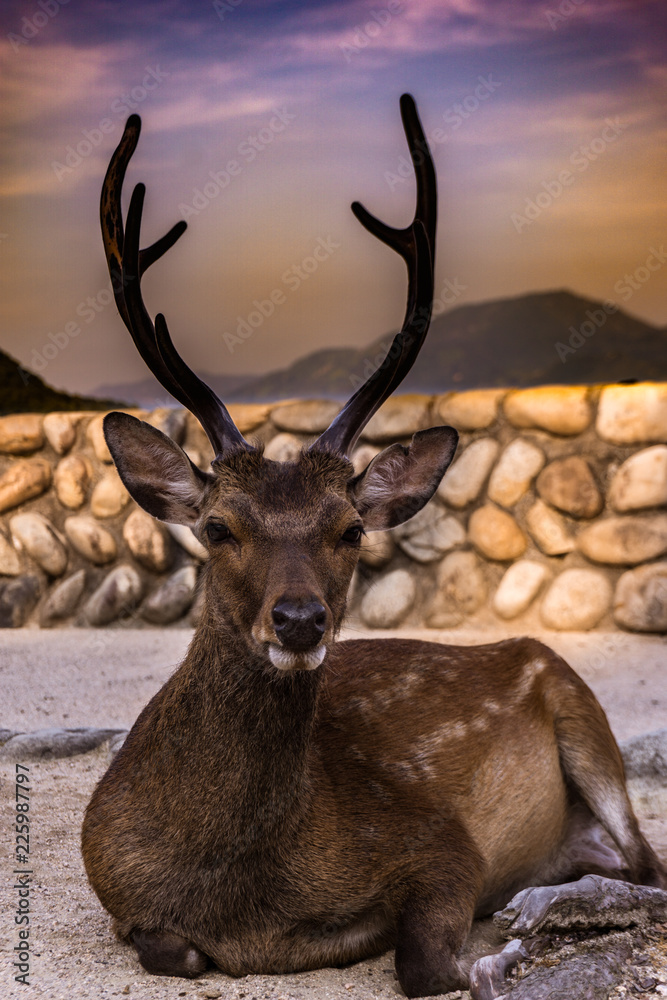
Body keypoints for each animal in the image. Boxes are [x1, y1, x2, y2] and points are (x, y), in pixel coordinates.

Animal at [82, 95, 667, 999]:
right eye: (218, 528)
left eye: (350, 530)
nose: (298, 620)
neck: (239, 889)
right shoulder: (114, 889)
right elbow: (169, 947)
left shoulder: (442, 840)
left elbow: (426, 962)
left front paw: (502, 951)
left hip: (580, 705)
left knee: (647, 864)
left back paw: (542, 903)